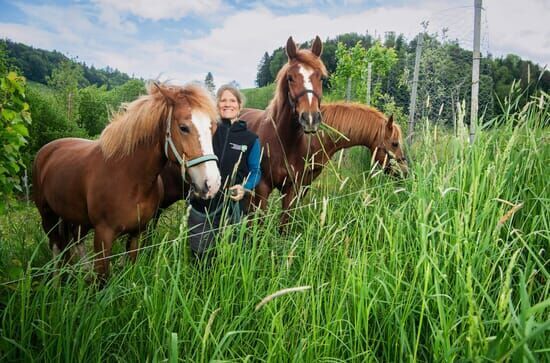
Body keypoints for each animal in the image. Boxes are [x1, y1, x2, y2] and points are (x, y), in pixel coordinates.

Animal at [33, 82, 220, 280]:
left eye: (212, 128)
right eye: (184, 127)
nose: (212, 183)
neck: (129, 178)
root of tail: (47, 150)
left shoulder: (136, 232)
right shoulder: (103, 236)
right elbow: (103, 279)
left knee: (74, 240)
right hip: (48, 215)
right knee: (56, 247)